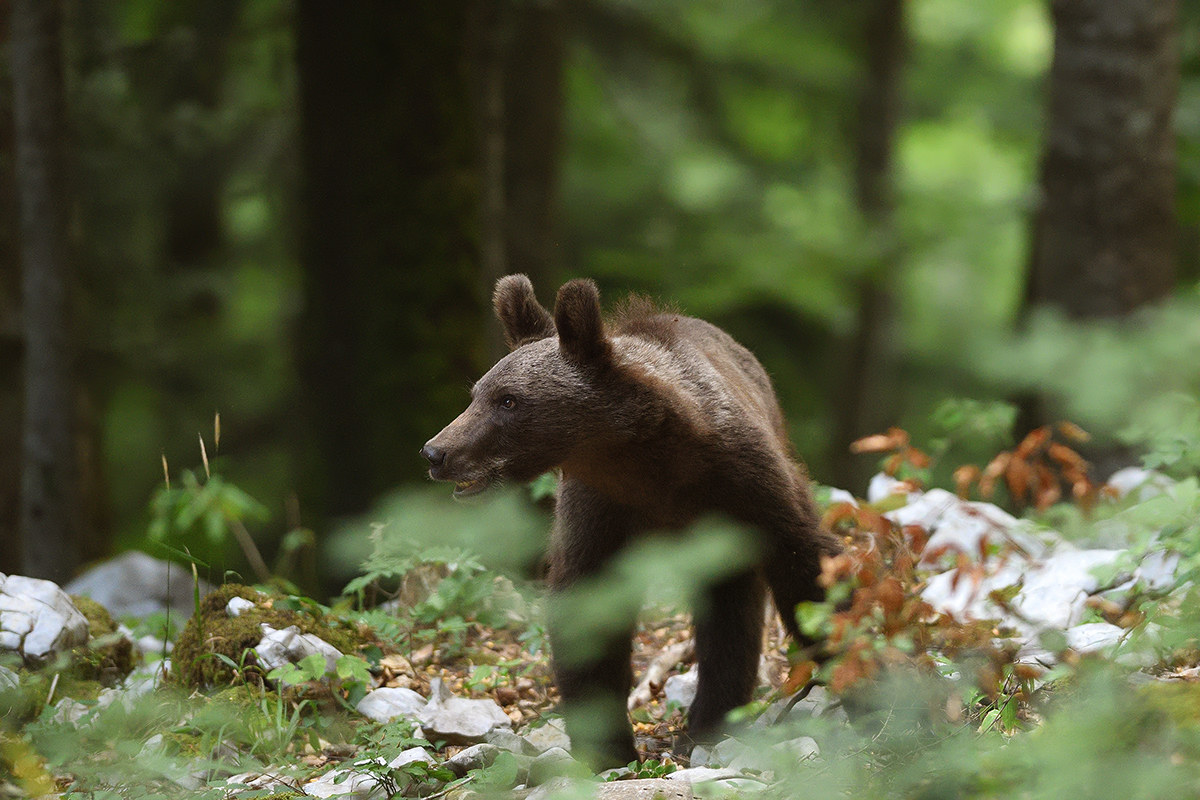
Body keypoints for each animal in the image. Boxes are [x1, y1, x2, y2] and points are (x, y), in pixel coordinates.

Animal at [421, 274, 841, 767]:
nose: (436, 452)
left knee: (729, 615)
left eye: (508, 400)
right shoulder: (601, 507)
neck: (648, 460)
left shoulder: (743, 484)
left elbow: (806, 564)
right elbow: (589, 610)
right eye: (476, 395)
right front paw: (609, 747)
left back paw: (707, 723)